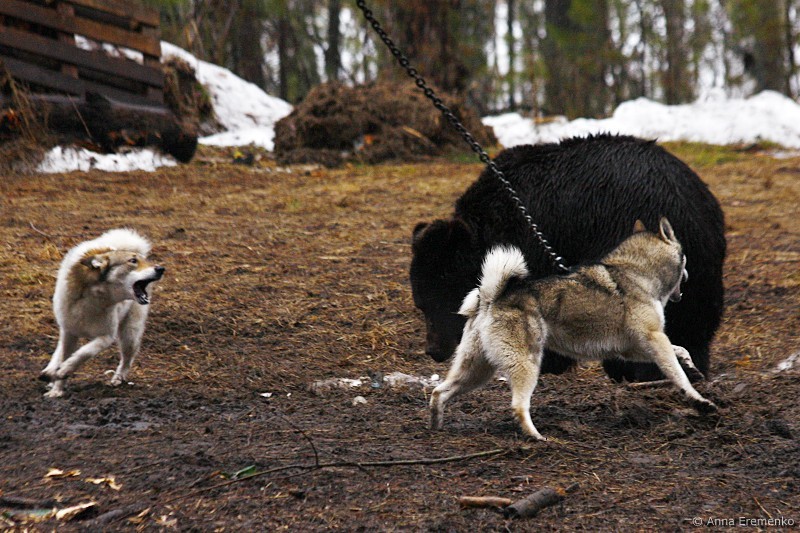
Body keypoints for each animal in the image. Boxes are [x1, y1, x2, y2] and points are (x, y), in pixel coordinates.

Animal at [40, 228, 165, 398]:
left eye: (143, 261)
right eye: (132, 261)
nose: (161, 269)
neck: (93, 298)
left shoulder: (106, 337)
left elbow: (84, 353)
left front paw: (65, 369)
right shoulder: (69, 332)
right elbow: (66, 354)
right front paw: (57, 389)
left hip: (130, 334)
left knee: (127, 359)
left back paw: (118, 378)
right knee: (58, 351)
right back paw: (50, 371)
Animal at [430, 218, 717, 440]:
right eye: (685, 258)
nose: (688, 276)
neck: (637, 273)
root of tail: (491, 298)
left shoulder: (636, 348)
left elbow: (680, 351)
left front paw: (691, 365)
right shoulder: (654, 340)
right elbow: (679, 376)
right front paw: (700, 402)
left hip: (477, 371)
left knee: (438, 392)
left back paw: (436, 425)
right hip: (525, 366)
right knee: (518, 406)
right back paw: (537, 437)